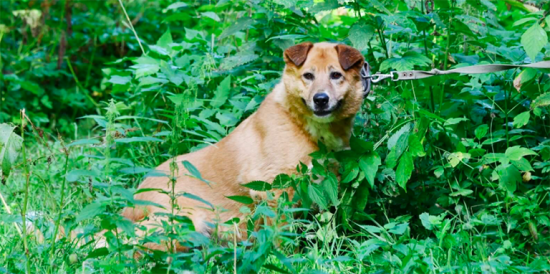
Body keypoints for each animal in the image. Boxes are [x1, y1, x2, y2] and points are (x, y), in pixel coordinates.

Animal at [123, 41, 368, 250]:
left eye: (336, 75)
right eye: (308, 75)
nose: (321, 99)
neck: (303, 126)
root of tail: (132, 201)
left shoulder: (327, 186)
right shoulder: (274, 189)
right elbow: (282, 238)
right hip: (186, 221)